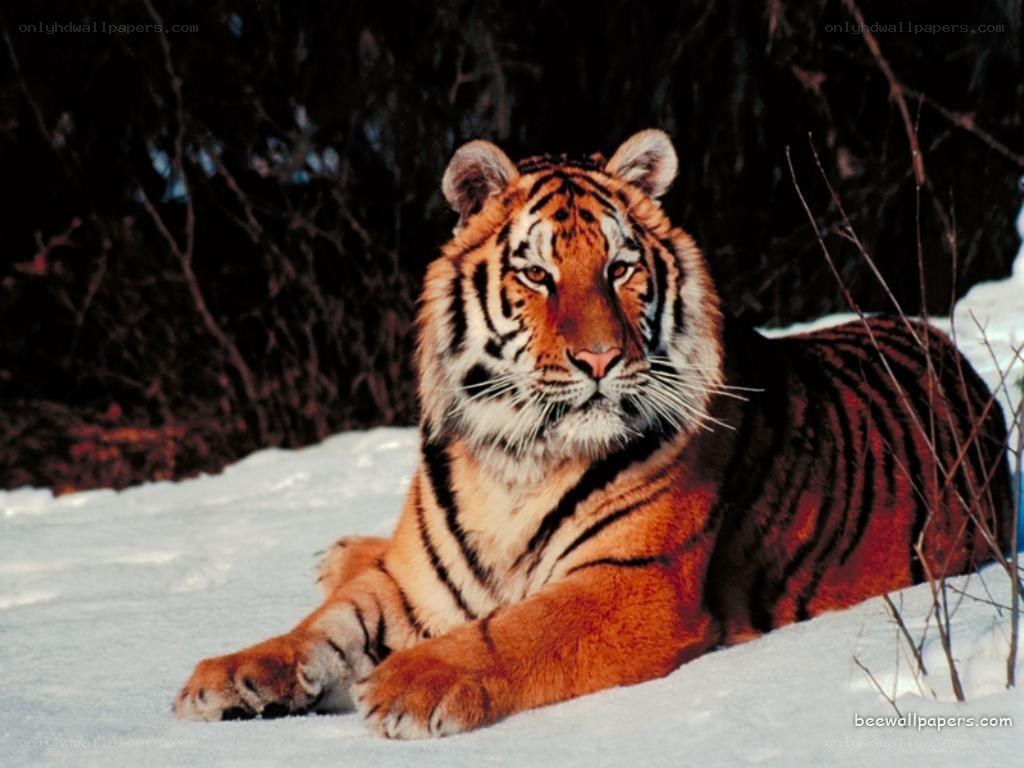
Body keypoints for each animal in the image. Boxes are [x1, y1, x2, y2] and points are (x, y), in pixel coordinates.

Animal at [174, 129, 1013, 738]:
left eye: (619, 269)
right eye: (536, 275)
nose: (602, 359)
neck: (515, 459)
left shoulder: (634, 581)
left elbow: (514, 630)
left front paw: (410, 684)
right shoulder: (414, 579)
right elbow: (323, 628)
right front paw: (228, 676)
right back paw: (337, 553)